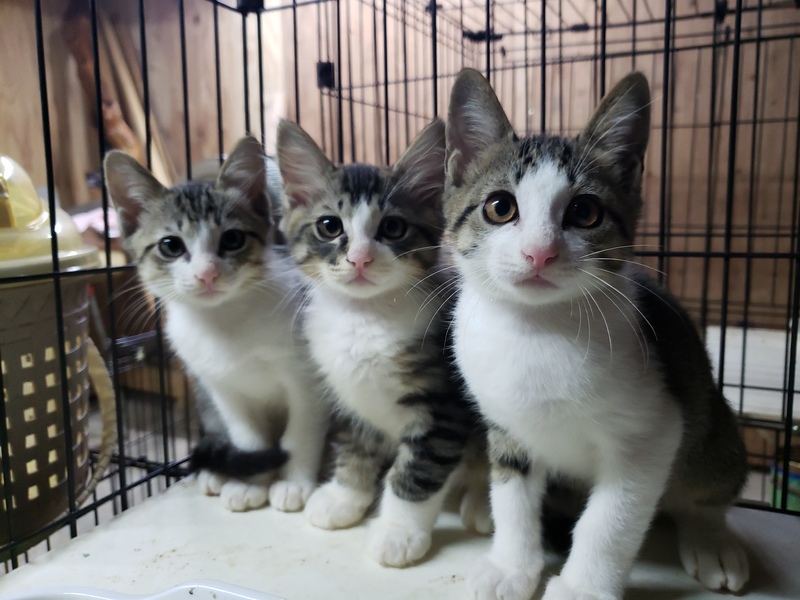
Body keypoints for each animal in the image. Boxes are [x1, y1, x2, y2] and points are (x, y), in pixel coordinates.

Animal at [104, 136, 327, 513]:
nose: (206, 274)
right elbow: (247, 436)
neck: (225, 321)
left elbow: (302, 430)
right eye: (170, 245)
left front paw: (293, 482)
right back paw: (215, 473)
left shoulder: (305, 376)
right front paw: (250, 482)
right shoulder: (221, 387)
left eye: (233, 239)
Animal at [276, 118, 490, 568]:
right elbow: (355, 447)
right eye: (329, 226)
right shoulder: (350, 396)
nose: (359, 258)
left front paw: (398, 532)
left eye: (393, 227)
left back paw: (483, 505)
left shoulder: (443, 408)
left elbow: (416, 471)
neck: (364, 319)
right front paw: (344, 497)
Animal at [443, 68, 749, 600]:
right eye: (500, 207)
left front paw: (582, 588)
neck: (536, 330)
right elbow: (513, 496)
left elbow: (610, 520)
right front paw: (510, 566)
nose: (539, 252)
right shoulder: (505, 422)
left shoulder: (652, 433)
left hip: (710, 419)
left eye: (585, 212)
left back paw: (711, 539)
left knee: (704, 489)